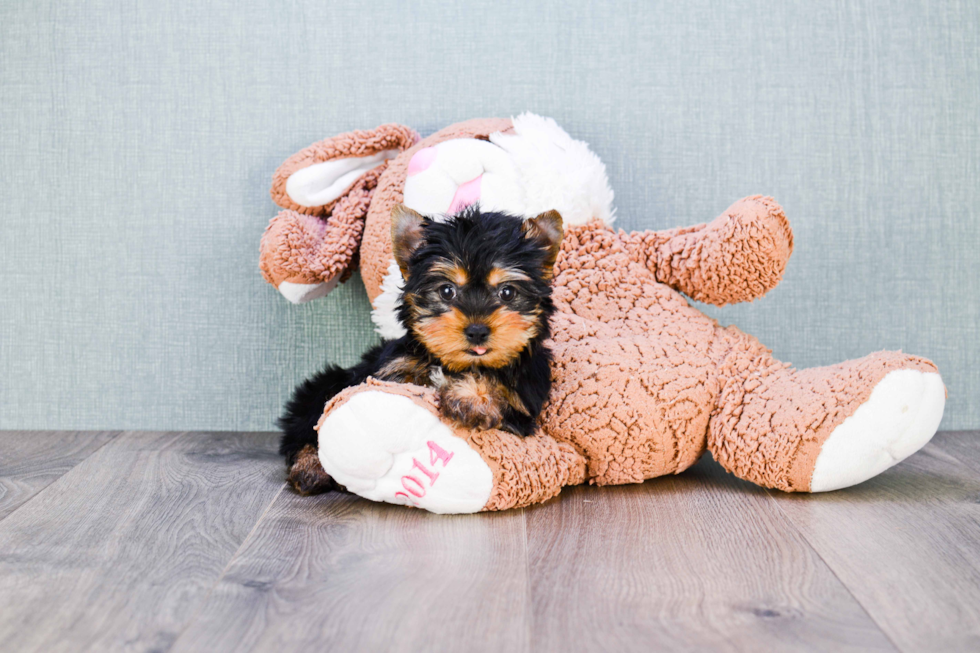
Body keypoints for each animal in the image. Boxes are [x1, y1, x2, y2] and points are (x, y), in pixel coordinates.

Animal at [280, 204, 564, 494]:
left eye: (507, 292)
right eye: (447, 291)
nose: (477, 331)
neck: (454, 365)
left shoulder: (525, 402)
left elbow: (497, 386)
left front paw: (471, 398)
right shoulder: (390, 367)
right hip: (326, 385)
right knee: (305, 428)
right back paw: (310, 467)